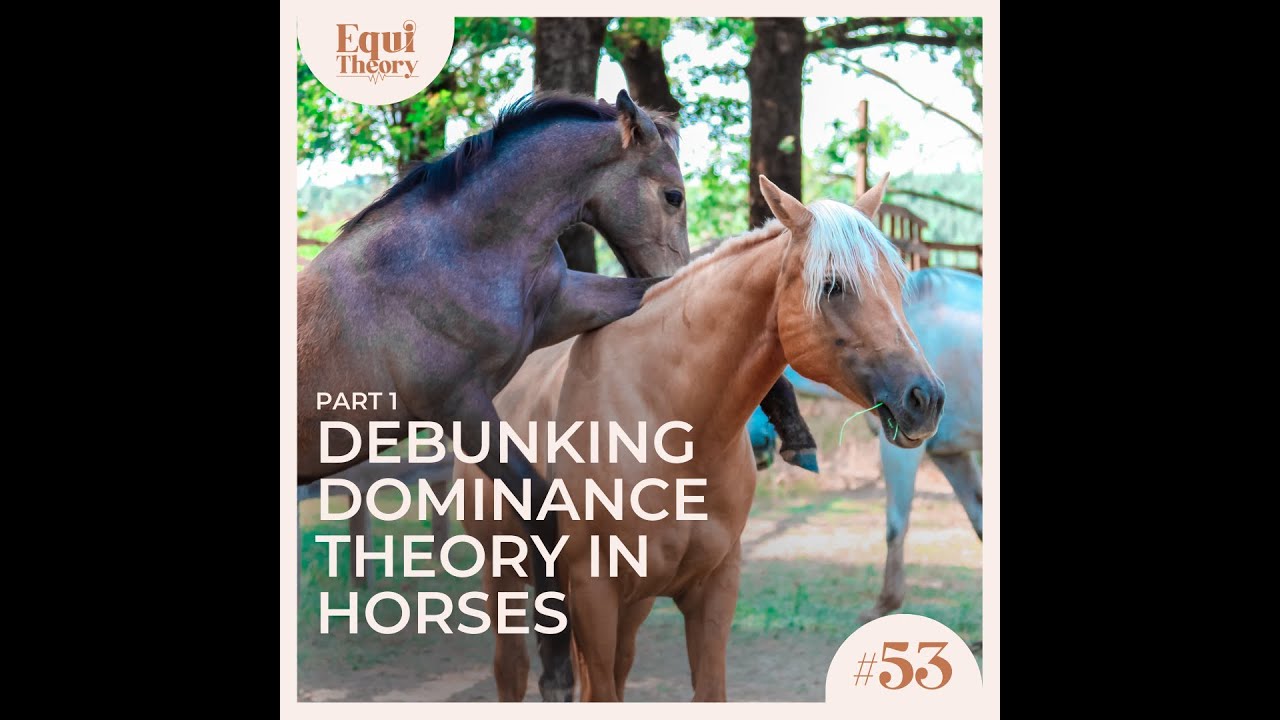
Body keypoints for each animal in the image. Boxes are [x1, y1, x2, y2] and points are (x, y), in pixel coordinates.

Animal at [457, 174, 945, 701]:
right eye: (834, 286)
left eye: (896, 284)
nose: (926, 398)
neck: (670, 424)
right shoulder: (592, 595)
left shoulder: (712, 589)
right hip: (505, 577)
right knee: (512, 669)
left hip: (630, 606)